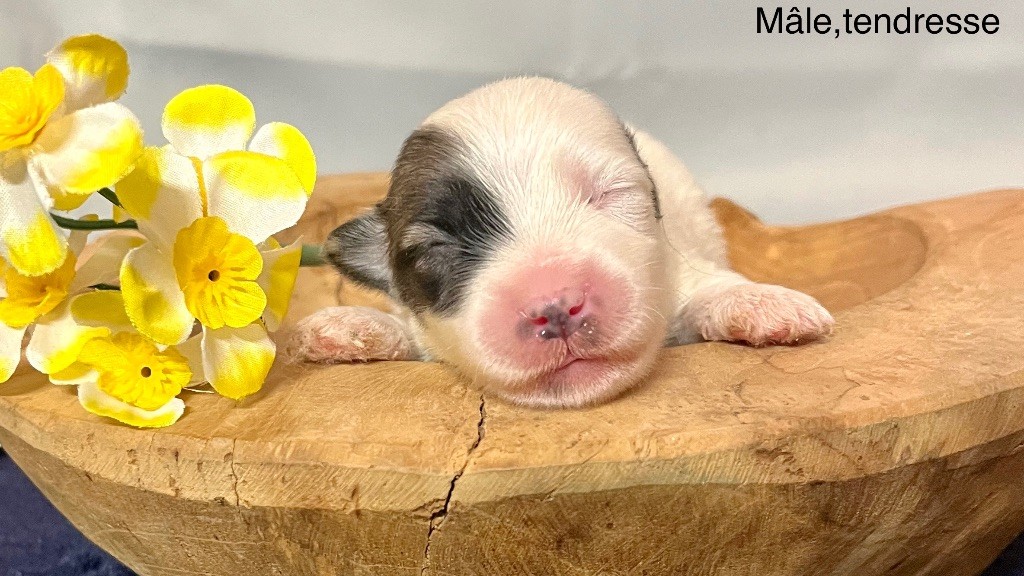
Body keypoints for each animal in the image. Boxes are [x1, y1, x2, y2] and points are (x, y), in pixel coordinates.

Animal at [292, 76, 835, 405]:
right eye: (436, 248)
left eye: (609, 194)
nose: (555, 307)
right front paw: (351, 324)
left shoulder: (679, 267)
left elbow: (709, 285)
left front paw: (762, 303)